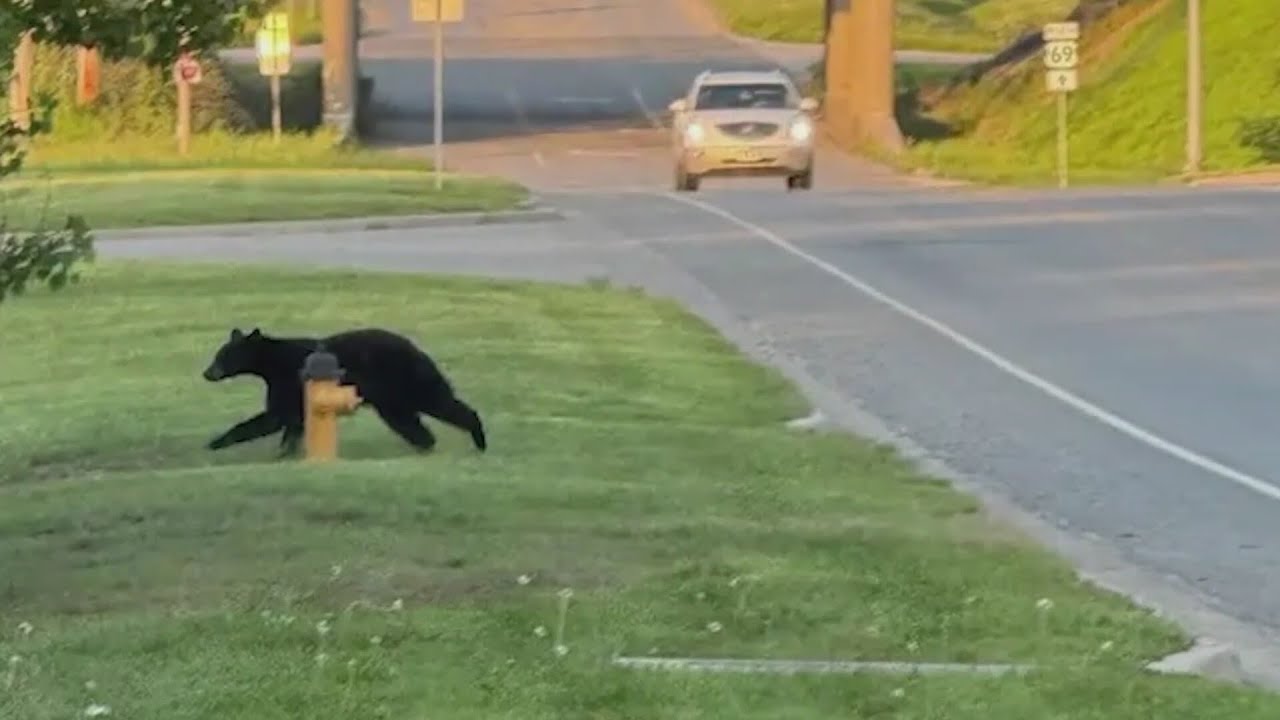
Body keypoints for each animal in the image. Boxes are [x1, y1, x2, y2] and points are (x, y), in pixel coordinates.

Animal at [201, 326, 487, 457]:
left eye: (223, 356)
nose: (207, 373)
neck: (271, 363)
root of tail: (417, 349)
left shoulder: (288, 381)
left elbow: (274, 417)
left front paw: (215, 442)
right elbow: (292, 423)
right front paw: (286, 452)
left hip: (407, 380)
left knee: (439, 401)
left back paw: (478, 439)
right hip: (392, 398)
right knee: (407, 420)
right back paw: (426, 446)